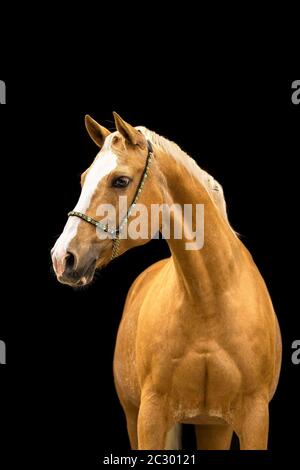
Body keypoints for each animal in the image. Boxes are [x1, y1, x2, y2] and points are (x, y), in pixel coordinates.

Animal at [51, 112, 282, 450]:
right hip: (134, 414)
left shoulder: (255, 418)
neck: (209, 301)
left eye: (120, 180)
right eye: (83, 179)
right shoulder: (150, 415)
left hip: (214, 426)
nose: (62, 257)